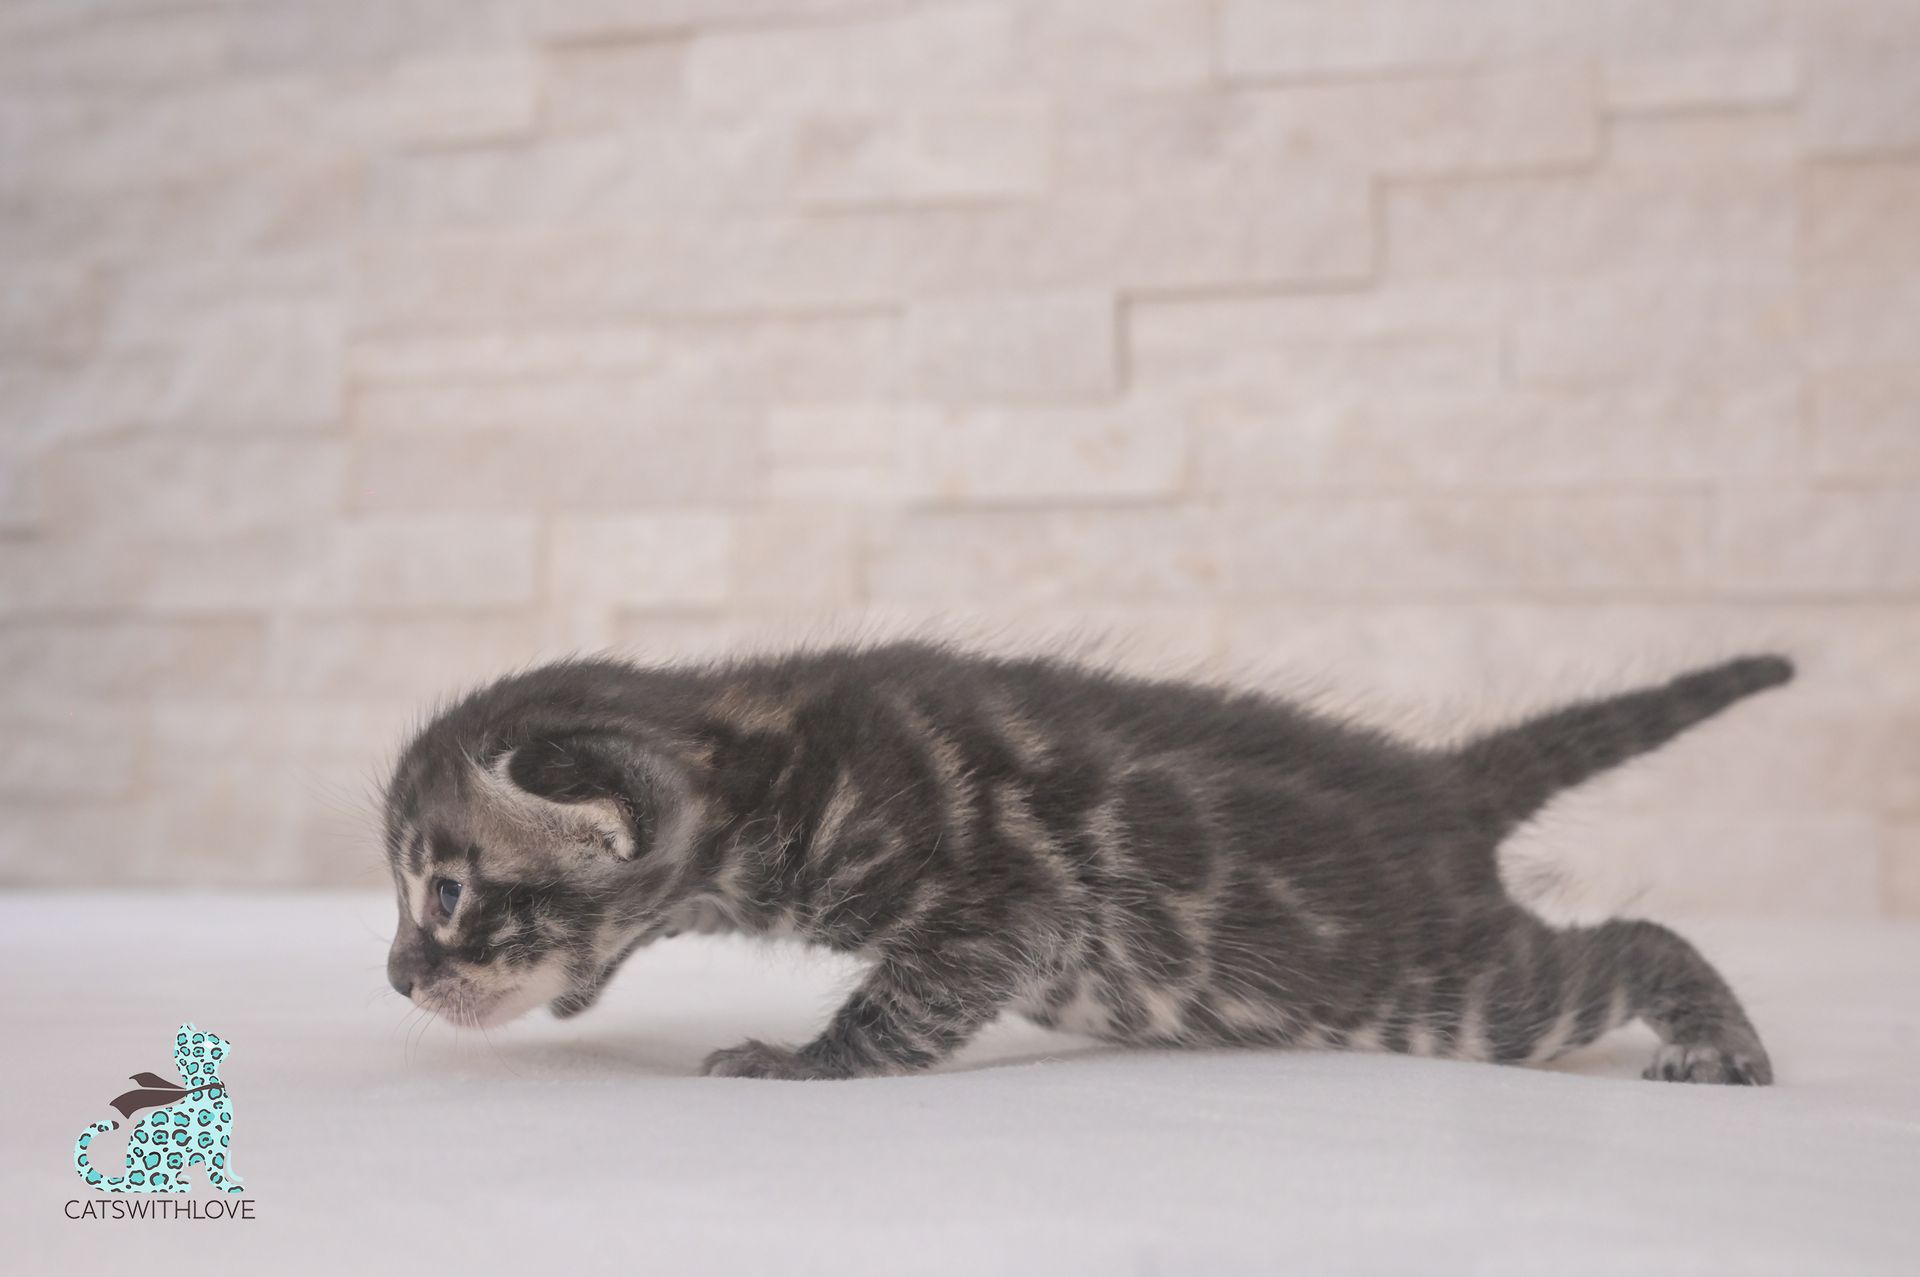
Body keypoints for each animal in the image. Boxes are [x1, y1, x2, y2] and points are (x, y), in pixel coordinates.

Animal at [382, 641, 1789, 1083]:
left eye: (443, 892)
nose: (396, 977)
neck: (758, 744)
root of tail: (1442, 785)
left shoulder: (1014, 905)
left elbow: (901, 1005)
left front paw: (795, 1059)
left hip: (1445, 990)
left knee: (1627, 944)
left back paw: (1718, 1039)